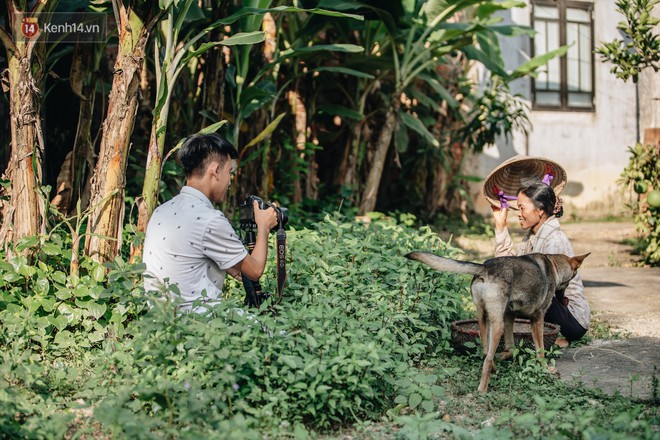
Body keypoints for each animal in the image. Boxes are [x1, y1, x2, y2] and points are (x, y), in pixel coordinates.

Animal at [408, 251, 588, 392]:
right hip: (497, 326)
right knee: (487, 359)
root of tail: (485, 267)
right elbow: (541, 351)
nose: (564, 299)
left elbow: (510, 345)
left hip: (484, 319)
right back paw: (482, 389)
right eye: (569, 282)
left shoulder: (509, 314)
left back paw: (494, 367)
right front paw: (545, 369)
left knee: (485, 351)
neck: (553, 265)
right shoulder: (537, 319)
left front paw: (507, 355)